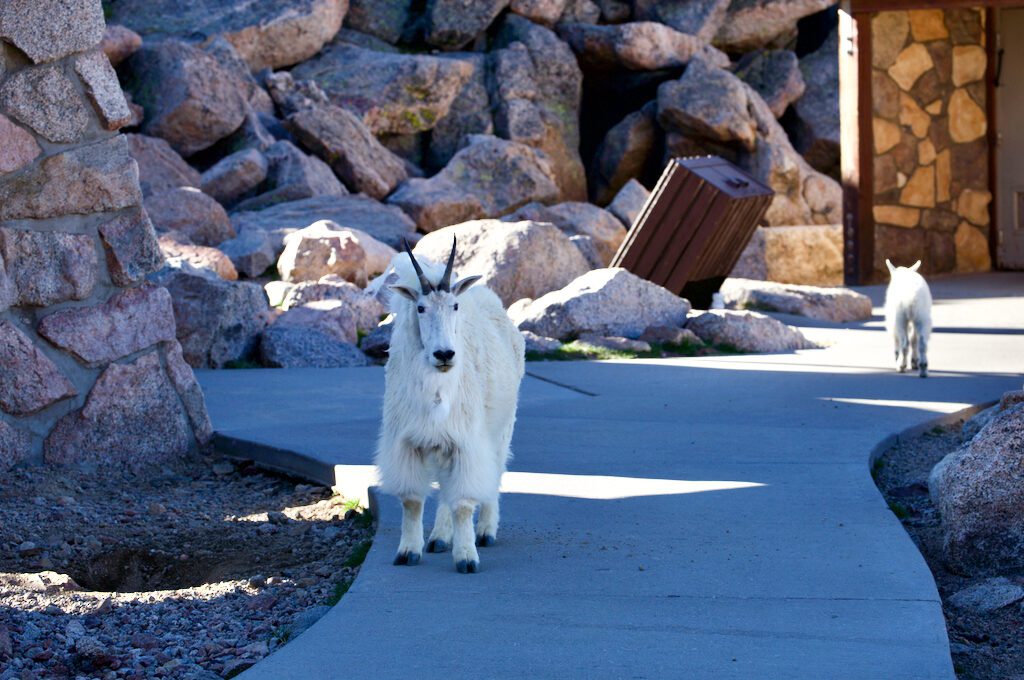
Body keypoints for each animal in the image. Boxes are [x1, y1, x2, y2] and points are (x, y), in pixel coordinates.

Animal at [372, 240, 524, 573]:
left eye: (455, 306)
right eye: (420, 308)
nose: (444, 354)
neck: (437, 391)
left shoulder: (467, 442)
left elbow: (463, 503)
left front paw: (466, 557)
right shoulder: (408, 442)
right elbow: (412, 501)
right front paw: (408, 552)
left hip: (502, 427)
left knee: (495, 471)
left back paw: (485, 531)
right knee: (444, 489)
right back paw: (439, 537)